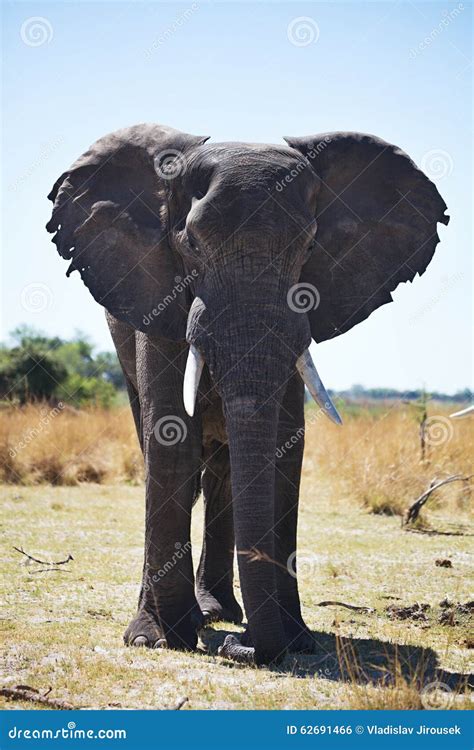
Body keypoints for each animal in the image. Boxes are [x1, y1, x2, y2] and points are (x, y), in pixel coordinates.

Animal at [45, 125, 448, 668]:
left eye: (308, 244)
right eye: (191, 243)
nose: (243, 645)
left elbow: (284, 446)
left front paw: (297, 641)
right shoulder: (156, 293)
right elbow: (170, 437)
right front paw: (156, 639)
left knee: (222, 474)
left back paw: (219, 612)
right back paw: (203, 618)